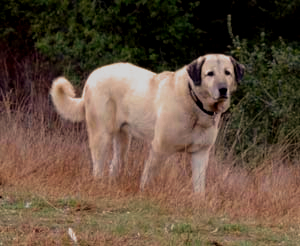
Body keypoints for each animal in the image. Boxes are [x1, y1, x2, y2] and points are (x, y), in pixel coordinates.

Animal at [51, 54, 244, 193]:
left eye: (227, 72)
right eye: (210, 73)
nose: (223, 89)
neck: (195, 103)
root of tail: (93, 75)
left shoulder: (200, 153)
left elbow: (199, 186)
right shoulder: (159, 148)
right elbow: (148, 176)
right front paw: (144, 194)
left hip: (123, 140)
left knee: (115, 164)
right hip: (102, 136)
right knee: (98, 166)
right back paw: (98, 186)